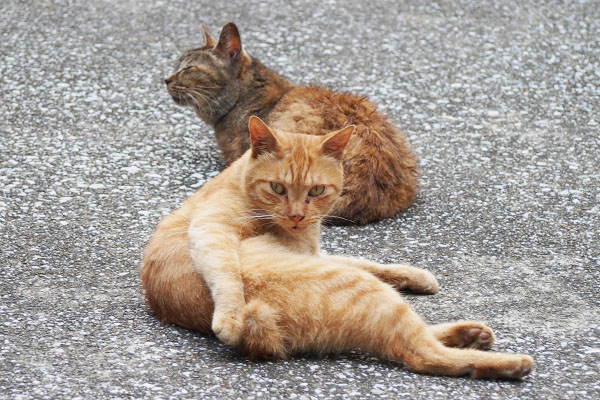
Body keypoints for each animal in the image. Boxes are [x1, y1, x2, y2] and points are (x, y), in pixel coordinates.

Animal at [142, 117, 536, 380]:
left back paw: (472, 334)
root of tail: (264, 337)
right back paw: (509, 363)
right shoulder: (211, 228)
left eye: (316, 191)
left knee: (419, 334)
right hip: (369, 295)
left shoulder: (318, 253)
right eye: (278, 188)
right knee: (421, 353)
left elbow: (369, 260)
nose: (298, 215)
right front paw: (229, 318)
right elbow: (225, 277)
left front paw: (415, 275)